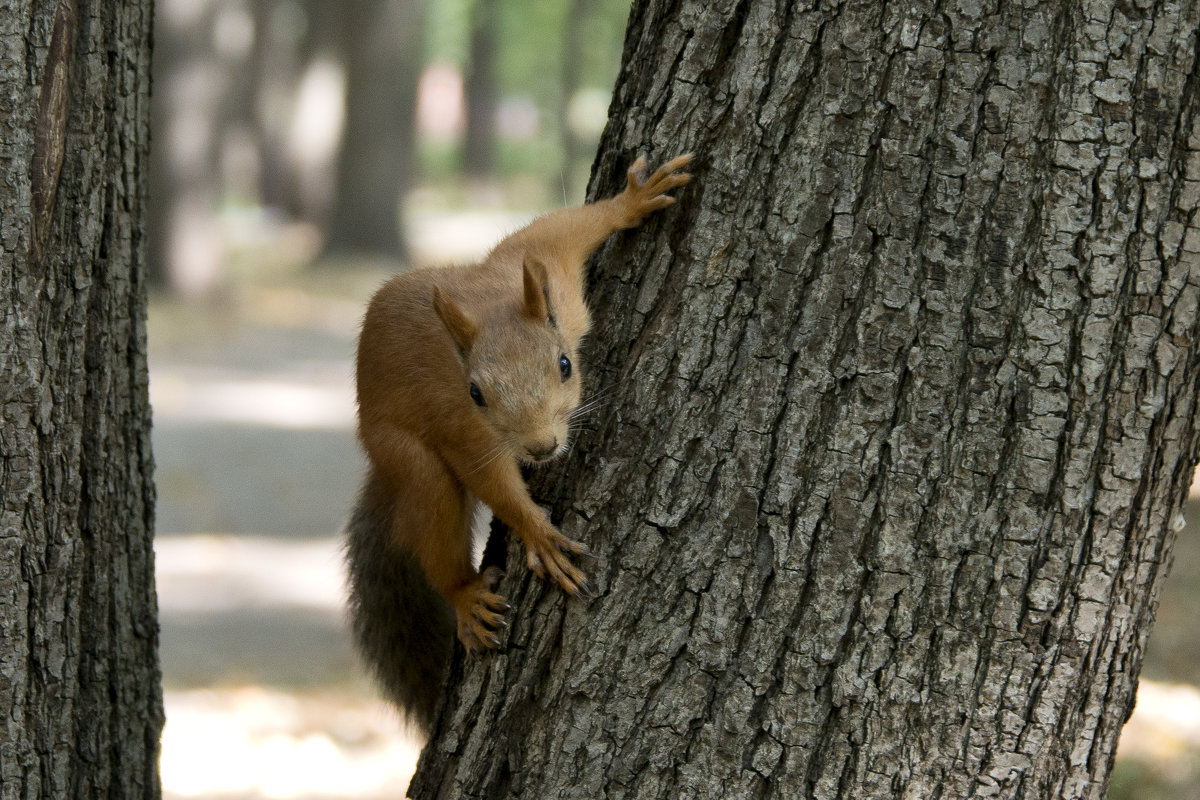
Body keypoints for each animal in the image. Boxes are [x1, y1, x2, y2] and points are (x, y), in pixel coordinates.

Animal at [343, 153, 696, 729]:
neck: (488, 308)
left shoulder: (542, 270)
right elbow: (494, 484)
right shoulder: (462, 429)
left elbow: (565, 227)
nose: (540, 447)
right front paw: (539, 535)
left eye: (565, 364)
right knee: (434, 514)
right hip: (405, 455)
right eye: (475, 394)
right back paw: (464, 595)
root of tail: (377, 462)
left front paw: (634, 200)